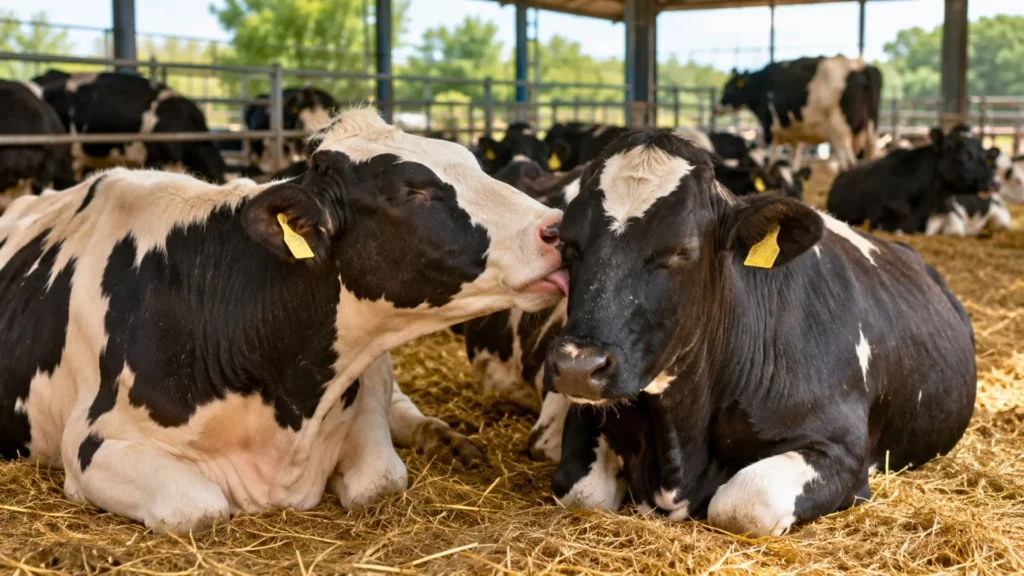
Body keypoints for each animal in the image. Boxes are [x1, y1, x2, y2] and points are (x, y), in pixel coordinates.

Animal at [0, 108, 567, 534]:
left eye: (473, 163)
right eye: (414, 191)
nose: (557, 228)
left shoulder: (362, 391)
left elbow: (380, 479)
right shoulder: (92, 444)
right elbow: (198, 506)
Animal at [541, 128, 976, 537]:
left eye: (681, 250)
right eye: (568, 242)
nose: (578, 366)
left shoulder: (842, 449)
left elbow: (743, 503)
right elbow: (584, 492)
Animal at [719, 56, 882, 171]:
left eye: (728, 88)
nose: (716, 106)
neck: (762, 85)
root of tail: (861, 66)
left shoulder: (770, 130)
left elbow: (770, 161)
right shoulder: (795, 137)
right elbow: (793, 163)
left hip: (840, 132)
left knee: (848, 163)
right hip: (871, 130)